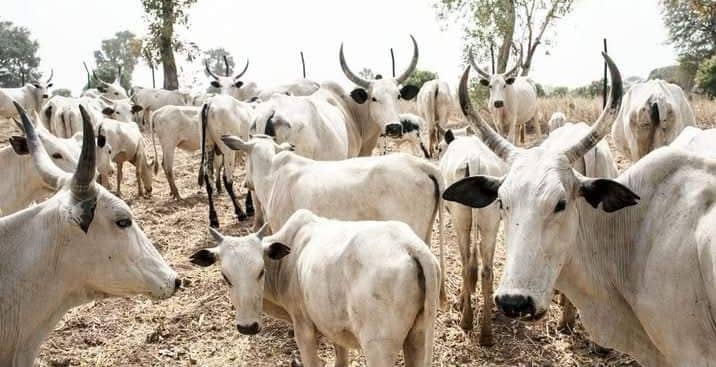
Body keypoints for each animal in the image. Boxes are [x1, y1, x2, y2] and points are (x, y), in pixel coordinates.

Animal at [187, 210, 440, 367]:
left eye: (260, 271)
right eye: (225, 276)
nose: (247, 327)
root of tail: (410, 245)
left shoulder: (304, 329)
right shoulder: (337, 329)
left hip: (379, 348)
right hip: (418, 338)